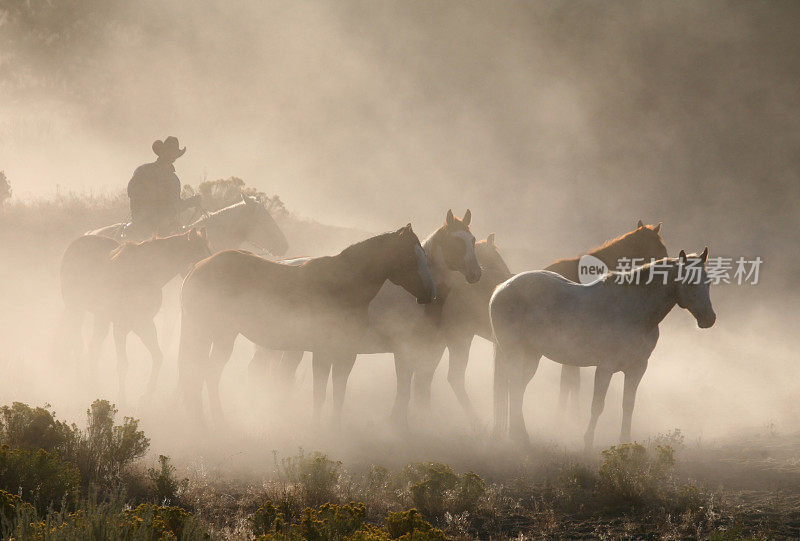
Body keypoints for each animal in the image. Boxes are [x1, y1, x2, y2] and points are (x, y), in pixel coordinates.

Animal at [57, 229, 212, 404]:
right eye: (198, 254)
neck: (145, 274)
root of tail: (76, 242)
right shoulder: (121, 327)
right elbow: (123, 364)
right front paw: (122, 400)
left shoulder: (144, 323)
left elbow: (158, 356)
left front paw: (146, 395)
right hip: (75, 309)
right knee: (77, 343)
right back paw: (81, 383)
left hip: (101, 318)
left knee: (93, 347)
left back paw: (93, 384)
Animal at [178, 221, 438, 428]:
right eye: (410, 257)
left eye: (424, 255)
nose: (430, 294)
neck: (341, 286)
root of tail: (198, 267)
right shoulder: (322, 352)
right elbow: (320, 392)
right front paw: (317, 427)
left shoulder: (345, 353)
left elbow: (338, 391)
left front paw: (334, 427)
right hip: (219, 336)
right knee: (208, 374)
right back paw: (218, 421)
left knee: (198, 374)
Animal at [490, 248, 716, 448]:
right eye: (690, 283)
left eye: (708, 282)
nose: (709, 319)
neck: (634, 311)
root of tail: (501, 288)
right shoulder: (605, 367)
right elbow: (597, 406)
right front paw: (588, 442)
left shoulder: (637, 368)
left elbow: (628, 405)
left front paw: (625, 442)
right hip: (514, 352)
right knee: (515, 387)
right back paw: (520, 436)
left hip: (532, 356)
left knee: (517, 388)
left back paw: (518, 435)